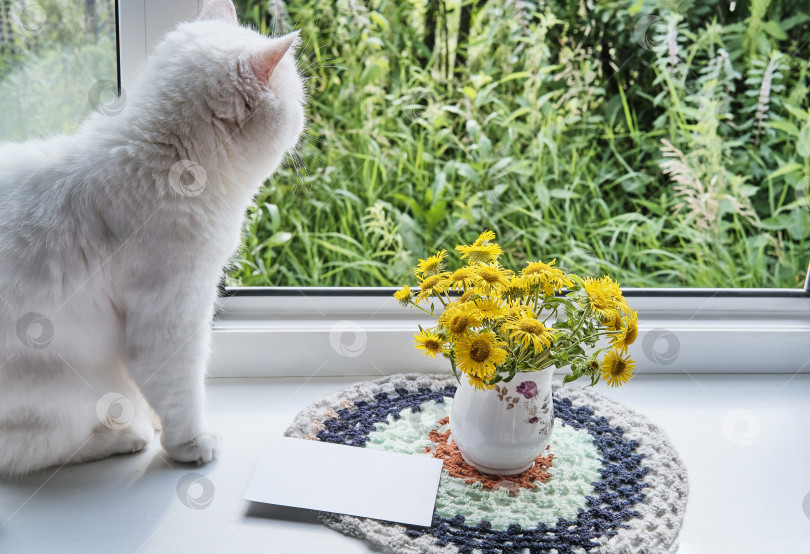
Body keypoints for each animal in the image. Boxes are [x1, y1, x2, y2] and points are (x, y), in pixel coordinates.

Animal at [0, 0, 304, 474]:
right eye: (297, 95)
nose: (307, 116)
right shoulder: (171, 319)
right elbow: (180, 392)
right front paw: (190, 443)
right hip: (68, 393)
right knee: (29, 451)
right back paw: (126, 436)